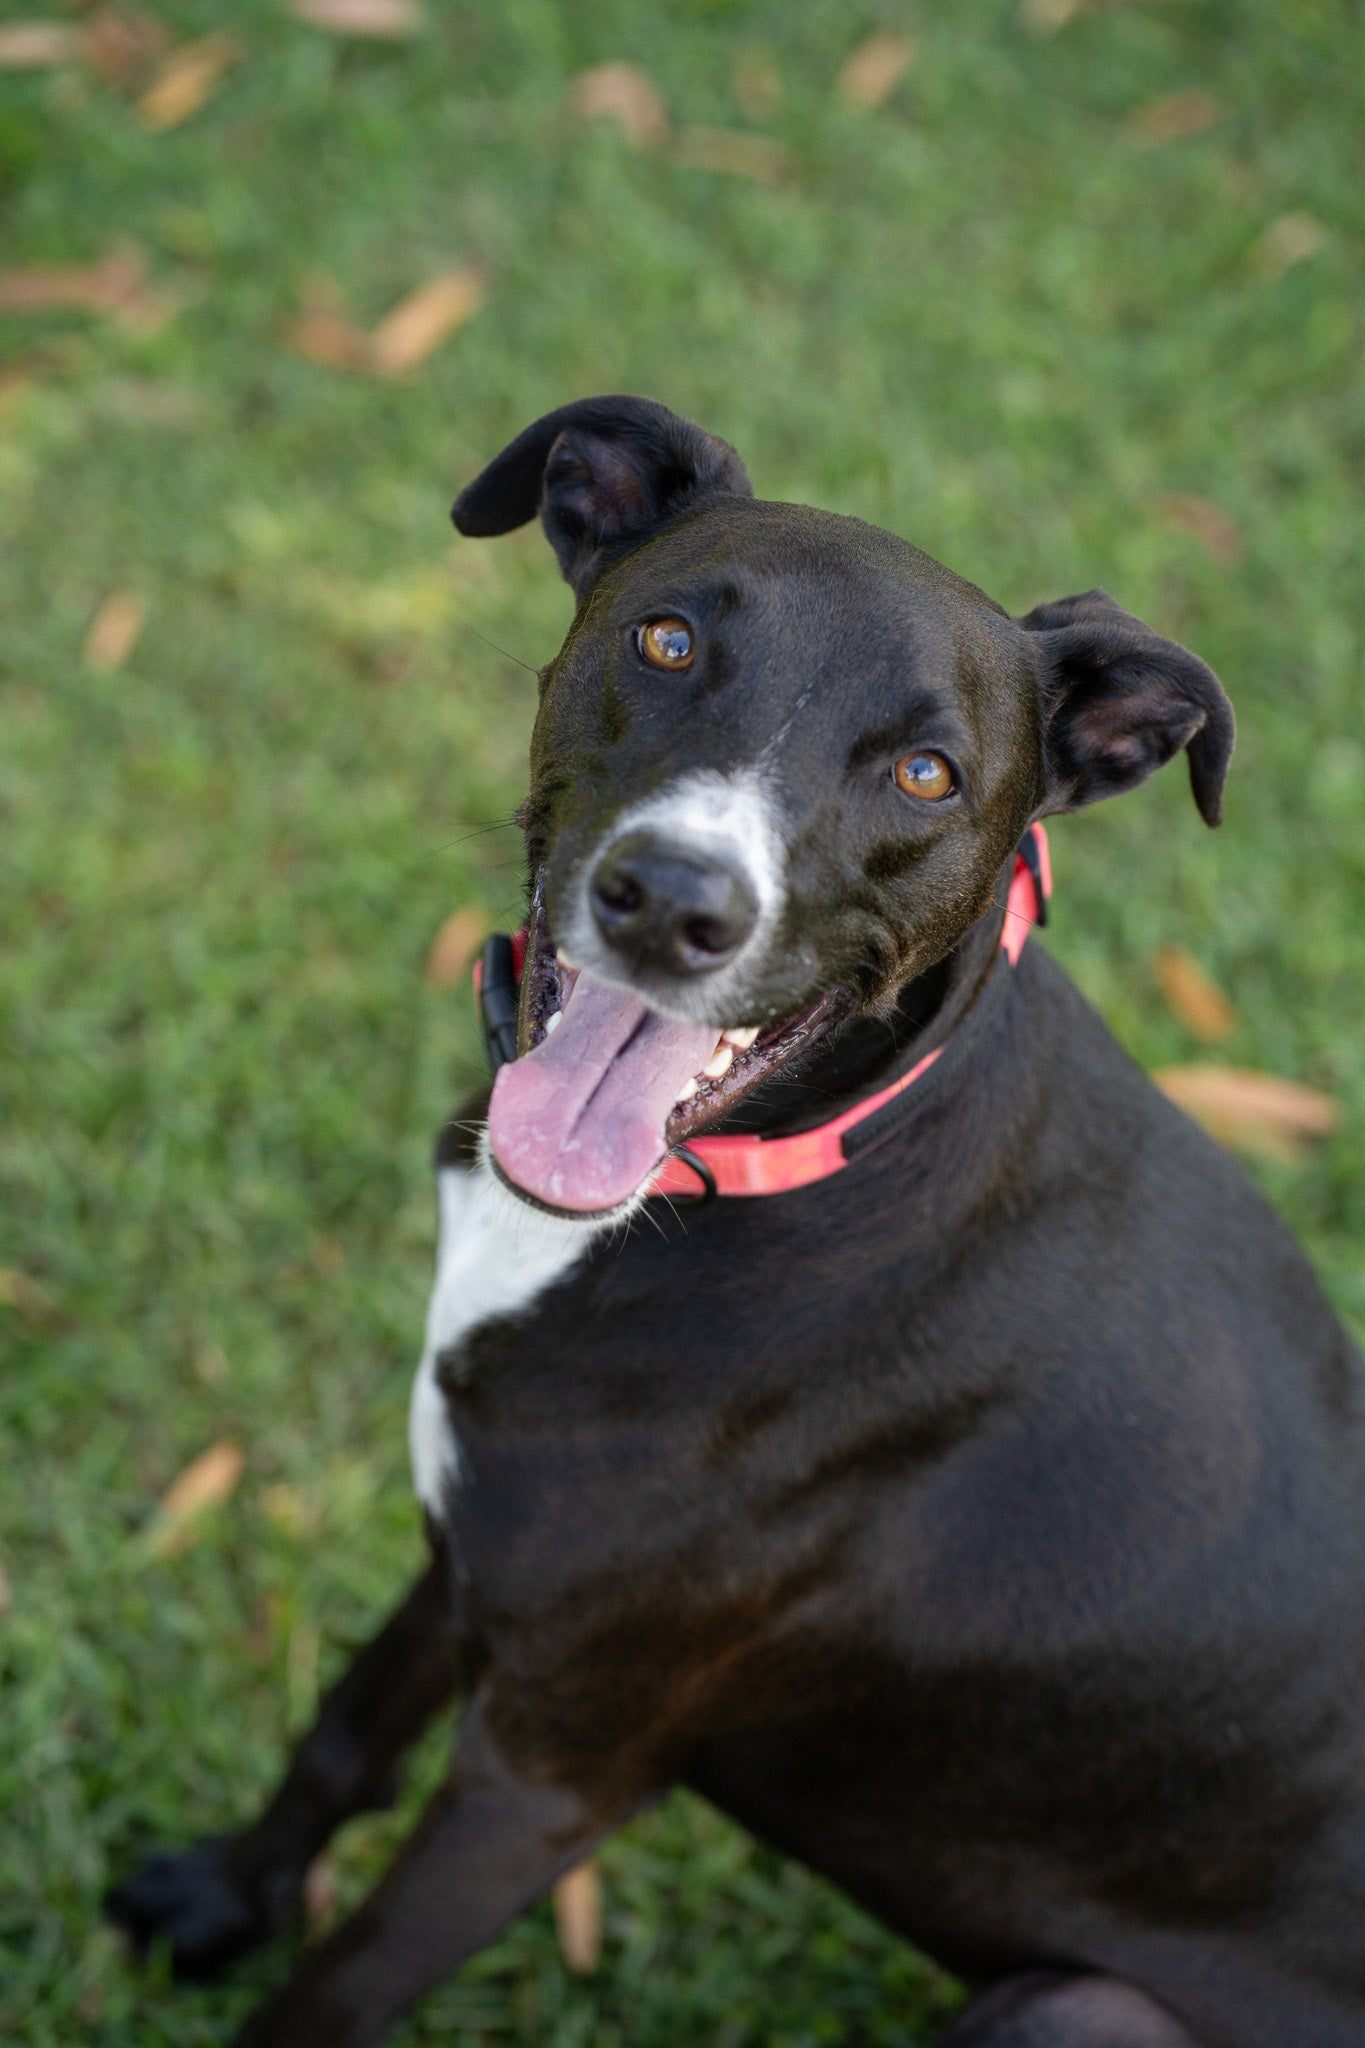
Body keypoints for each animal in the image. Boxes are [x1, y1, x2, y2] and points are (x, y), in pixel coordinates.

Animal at [112, 391, 1365, 2039]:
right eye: (665, 641)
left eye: (927, 775)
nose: (673, 901)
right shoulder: (476, 1556)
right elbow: (340, 1732)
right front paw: (220, 1895)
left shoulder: (552, 1770)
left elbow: (337, 1990)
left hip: (1074, 2006)